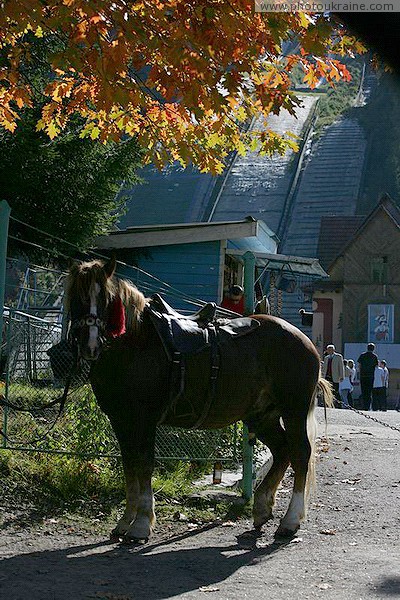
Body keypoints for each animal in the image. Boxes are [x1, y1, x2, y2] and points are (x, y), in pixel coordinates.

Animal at [65, 258, 332, 544]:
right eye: (77, 298)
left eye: (105, 298)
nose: (91, 344)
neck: (136, 344)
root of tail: (304, 341)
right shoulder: (121, 420)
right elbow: (129, 466)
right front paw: (126, 521)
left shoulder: (144, 419)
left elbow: (144, 464)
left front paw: (142, 524)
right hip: (262, 416)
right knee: (282, 450)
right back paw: (262, 507)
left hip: (293, 411)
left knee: (300, 454)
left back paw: (290, 520)